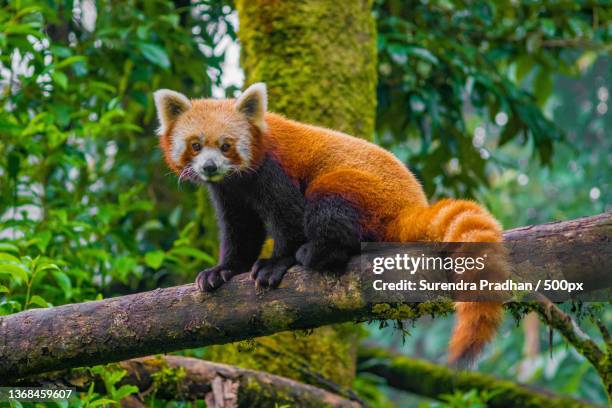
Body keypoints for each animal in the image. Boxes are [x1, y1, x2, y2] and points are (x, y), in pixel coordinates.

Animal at [154, 83, 506, 364]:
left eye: (226, 145)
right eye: (196, 145)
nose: (210, 166)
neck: (241, 178)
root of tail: (410, 206)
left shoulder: (273, 170)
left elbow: (289, 218)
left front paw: (275, 263)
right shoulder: (230, 192)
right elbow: (241, 231)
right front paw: (223, 270)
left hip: (358, 192)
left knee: (327, 207)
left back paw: (317, 253)